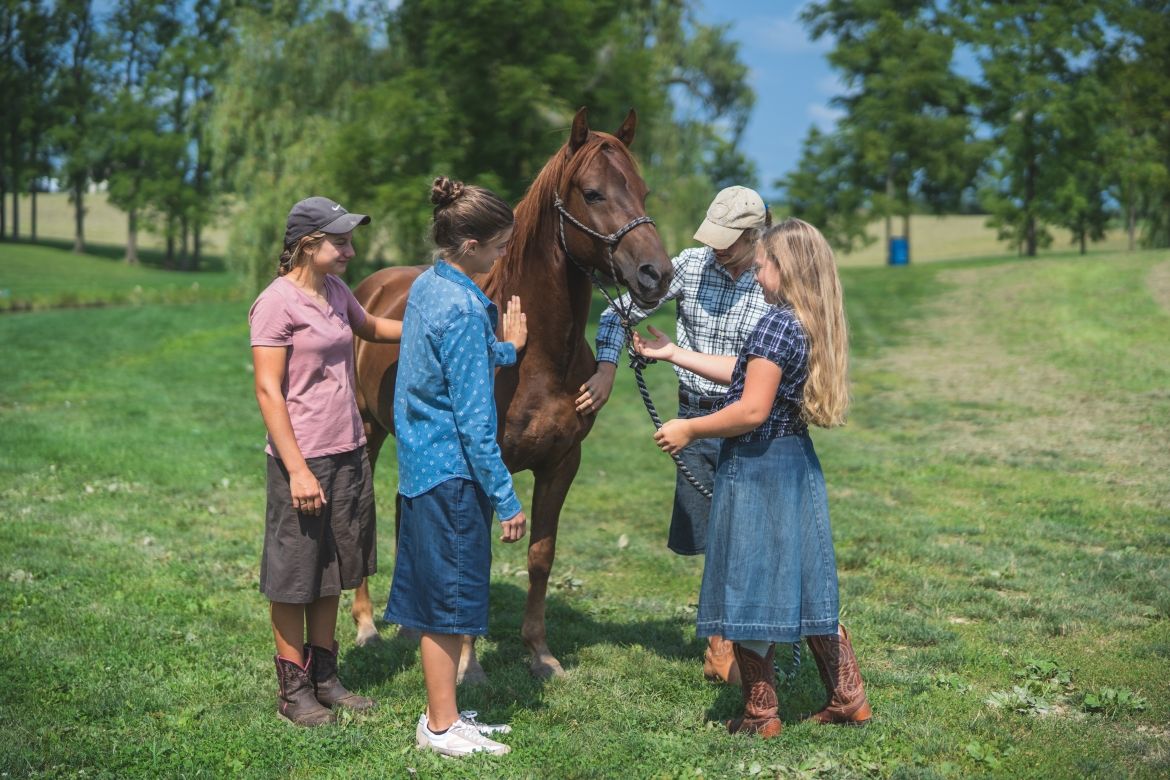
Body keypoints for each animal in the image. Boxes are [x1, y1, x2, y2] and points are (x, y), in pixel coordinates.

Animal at [348, 108, 669, 678]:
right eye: (593, 193)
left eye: (643, 190)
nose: (657, 274)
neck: (536, 358)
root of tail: (374, 286)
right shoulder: (480, 466)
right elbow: (477, 556)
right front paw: (467, 666)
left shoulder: (563, 463)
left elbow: (541, 555)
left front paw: (540, 654)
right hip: (369, 431)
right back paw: (367, 627)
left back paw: (409, 625)